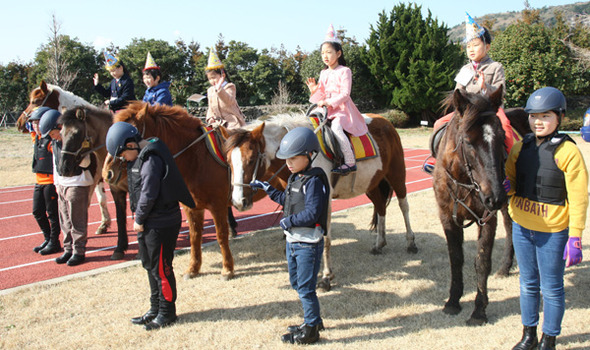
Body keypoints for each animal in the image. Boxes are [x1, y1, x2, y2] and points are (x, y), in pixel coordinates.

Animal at [103, 101, 235, 278]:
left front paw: (227, 269)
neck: (197, 158)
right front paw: (193, 269)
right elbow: (195, 237)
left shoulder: (217, 206)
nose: (107, 172)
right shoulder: (192, 208)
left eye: (127, 140)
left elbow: (221, 236)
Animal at [224, 113, 418, 292]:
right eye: (228, 162)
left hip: (397, 174)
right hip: (372, 183)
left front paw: (326, 277)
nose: (238, 201)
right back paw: (379, 244)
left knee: (404, 206)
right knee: (380, 207)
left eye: (251, 159)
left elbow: (325, 239)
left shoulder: (324, 200)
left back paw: (411, 243)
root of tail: (385, 121)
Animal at [434, 87, 508, 326]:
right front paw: (453, 301)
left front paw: (479, 310)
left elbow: (482, 261)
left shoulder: (487, 217)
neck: (463, 180)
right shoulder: (447, 217)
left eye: (502, 137)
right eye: (467, 141)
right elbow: (456, 258)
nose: (495, 197)